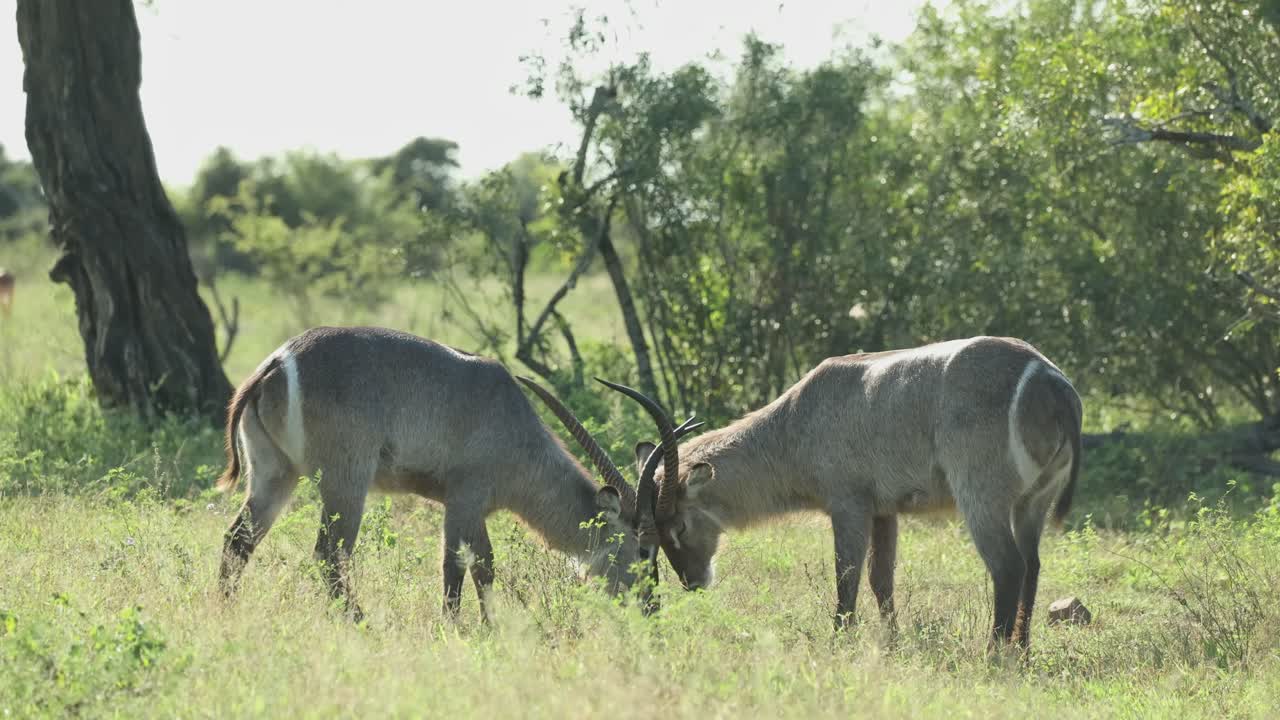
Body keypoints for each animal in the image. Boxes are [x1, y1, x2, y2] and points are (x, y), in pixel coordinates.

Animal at [216, 326, 700, 621]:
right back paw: (361, 622)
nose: (653, 608)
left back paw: (224, 611)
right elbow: (462, 564)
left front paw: (483, 626)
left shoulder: (472, 508)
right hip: (344, 480)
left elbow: (477, 564)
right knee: (329, 554)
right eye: (645, 550)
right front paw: (464, 628)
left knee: (238, 540)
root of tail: (278, 361)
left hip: (275, 474)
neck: (514, 423)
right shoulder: (464, 498)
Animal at [606, 336, 1082, 649]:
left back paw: (995, 656)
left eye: (678, 527)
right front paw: (891, 642)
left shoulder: (848, 504)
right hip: (1032, 503)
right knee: (1033, 566)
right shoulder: (885, 510)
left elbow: (846, 574)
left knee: (1008, 567)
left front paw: (840, 640)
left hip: (981, 498)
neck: (797, 418)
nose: (692, 583)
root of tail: (1050, 380)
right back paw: (1022, 652)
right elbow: (881, 579)